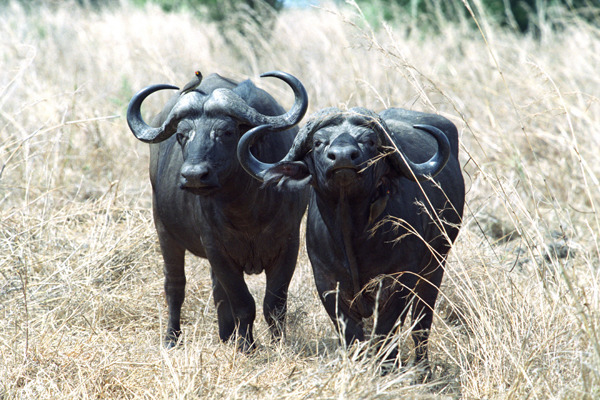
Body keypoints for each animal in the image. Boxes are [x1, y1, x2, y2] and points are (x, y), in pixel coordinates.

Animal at [126, 71, 309, 351]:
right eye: (182, 134)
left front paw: (279, 344)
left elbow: (274, 304)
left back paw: (226, 334)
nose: (193, 176)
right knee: (175, 286)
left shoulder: (289, 244)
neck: (247, 209)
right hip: (164, 231)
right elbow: (243, 303)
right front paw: (247, 346)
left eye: (226, 131)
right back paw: (172, 338)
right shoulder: (216, 250)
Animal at [238, 106, 464, 376]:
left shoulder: (399, 282)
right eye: (318, 142)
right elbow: (352, 335)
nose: (343, 157)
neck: (351, 235)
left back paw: (422, 369)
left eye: (370, 142)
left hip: (436, 264)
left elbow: (386, 334)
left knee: (422, 320)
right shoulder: (327, 283)